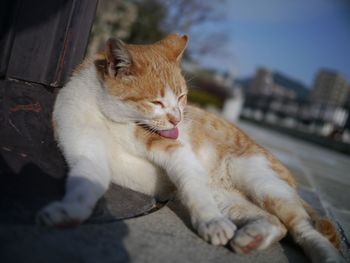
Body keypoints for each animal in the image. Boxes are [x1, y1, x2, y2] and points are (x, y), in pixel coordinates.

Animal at [37, 34, 344, 262]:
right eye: (157, 102)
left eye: (182, 97)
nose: (177, 118)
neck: (111, 120)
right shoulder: (85, 153)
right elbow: (83, 186)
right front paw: (68, 212)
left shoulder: (176, 152)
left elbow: (193, 188)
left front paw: (211, 222)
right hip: (228, 197)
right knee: (276, 223)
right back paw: (251, 238)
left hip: (260, 180)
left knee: (303, 228)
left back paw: (326, 256)